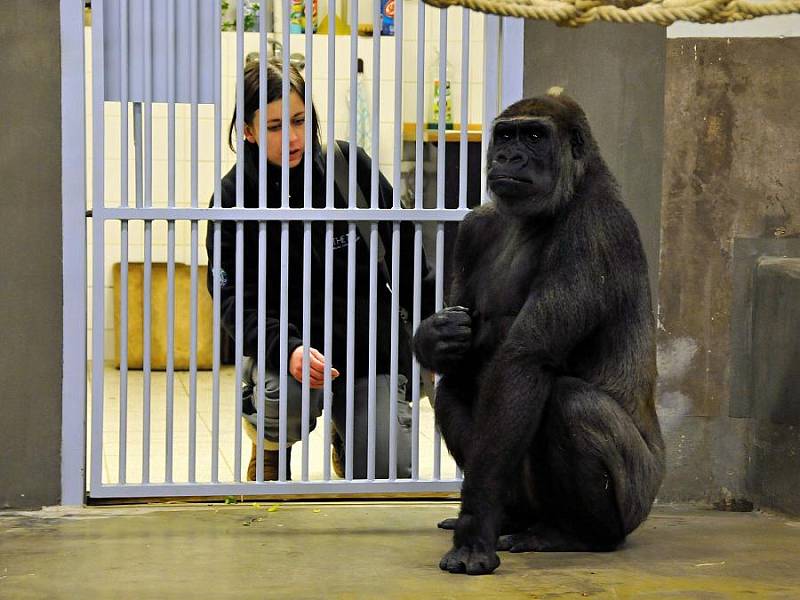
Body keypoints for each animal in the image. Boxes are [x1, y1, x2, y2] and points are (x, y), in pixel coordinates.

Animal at [416, 91, 664, 576]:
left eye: (534, 136)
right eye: (506, 136)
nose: (508, 157)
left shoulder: (592, 231)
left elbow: (523, 359)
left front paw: (474, 528)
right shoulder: (474, 226)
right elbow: (458, 352)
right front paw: (434, 336)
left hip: (640, 499)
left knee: (573, 404)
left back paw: (581, 535)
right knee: (455, 385)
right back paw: (515, 517)